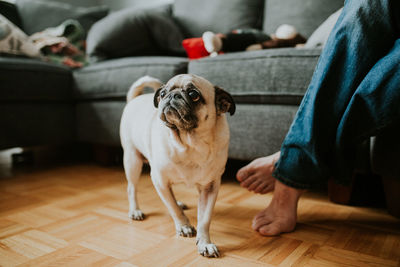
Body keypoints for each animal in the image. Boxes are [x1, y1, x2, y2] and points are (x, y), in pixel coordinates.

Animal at [120, 74, 236, 258]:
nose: (172, 95)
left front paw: (205, 242)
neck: (189, 144)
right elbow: (173, 208)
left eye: (193, 94)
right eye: (162, 94)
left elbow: (204, 219)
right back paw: (135, 210)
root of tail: (135, 99)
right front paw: (184, 226)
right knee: (132, 188)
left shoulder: (210, 187)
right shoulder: (159, 179)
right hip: (132, 160)